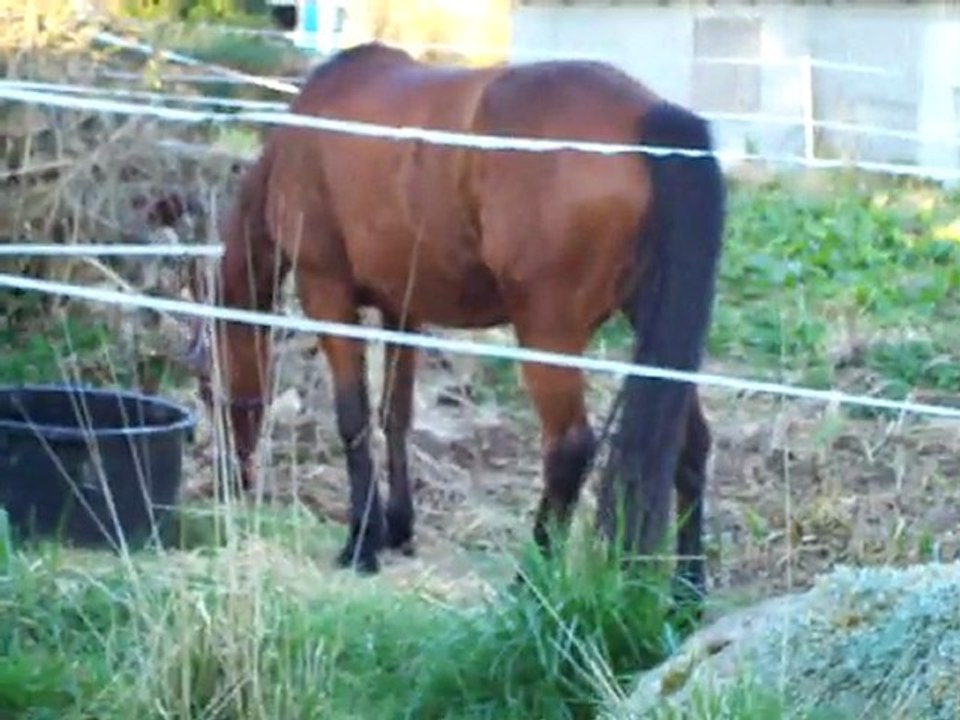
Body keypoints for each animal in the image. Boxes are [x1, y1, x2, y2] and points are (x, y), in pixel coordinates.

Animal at [179, 41, 726, 607]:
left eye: (205, 381)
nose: (230, 477)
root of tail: (645, 115)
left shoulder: (327, 293)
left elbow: (353, 418)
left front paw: (361, 542)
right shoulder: (403, 310)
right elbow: (394, 415)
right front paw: (397, 527)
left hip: (547, 332)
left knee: (569, 448)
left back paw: (529, 582)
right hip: (651, 325)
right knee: (690, 444)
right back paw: (688, 590)